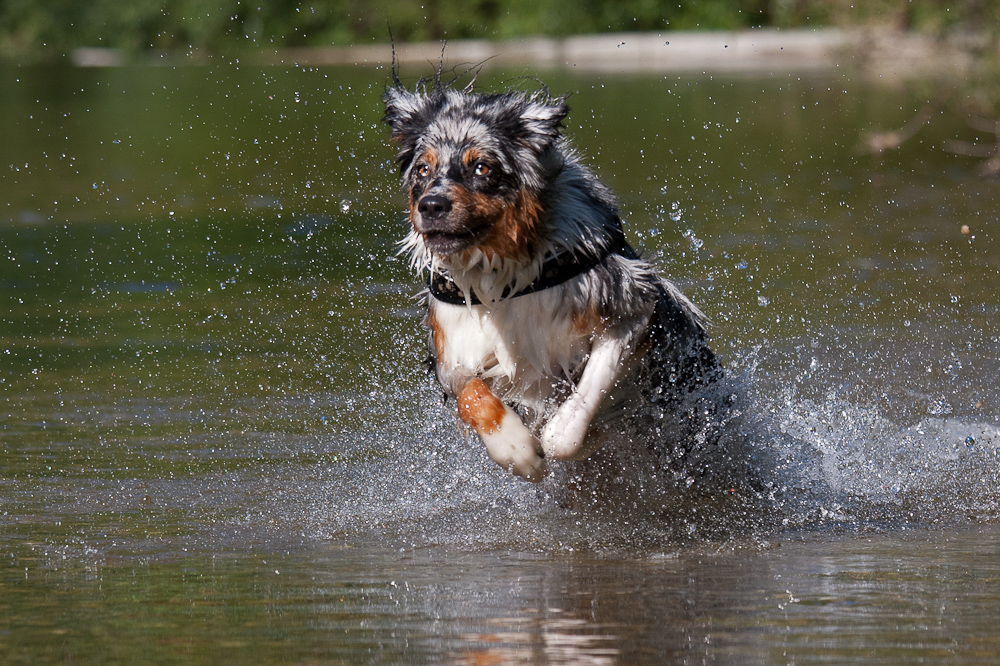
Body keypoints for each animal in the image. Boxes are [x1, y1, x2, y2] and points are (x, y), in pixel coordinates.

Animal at [382, 76, 720, 482]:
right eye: (422, 170)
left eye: (482, 168)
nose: (431, 206)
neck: (504, 279)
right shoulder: (452, 348)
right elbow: (473, 396)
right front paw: (516, 449)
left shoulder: (629, 310)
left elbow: (578, 409)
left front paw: (576, 435)